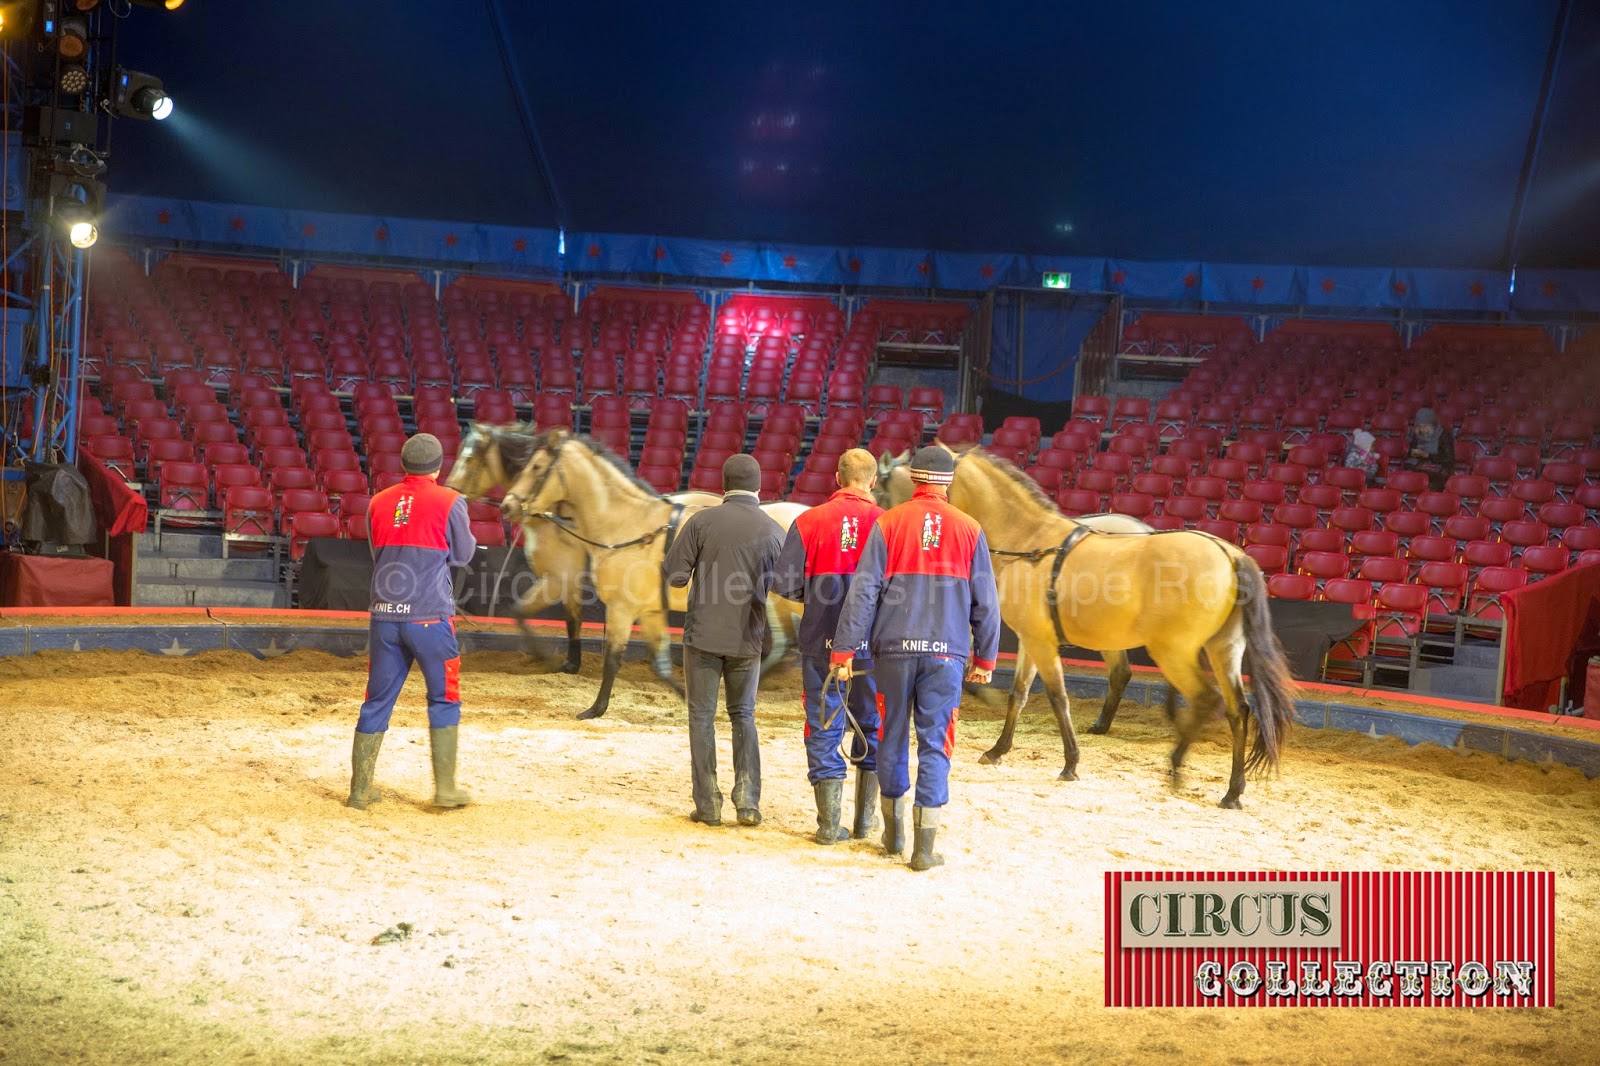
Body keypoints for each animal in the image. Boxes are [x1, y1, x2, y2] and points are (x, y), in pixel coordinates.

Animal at [499, 432, 806, 723]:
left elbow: (612, 659)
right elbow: (661, 665)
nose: (507, 506)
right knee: (784, 644)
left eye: (537, 467)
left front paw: (595, 709)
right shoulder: (651, 610)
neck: (628, 525)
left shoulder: (620, 609)